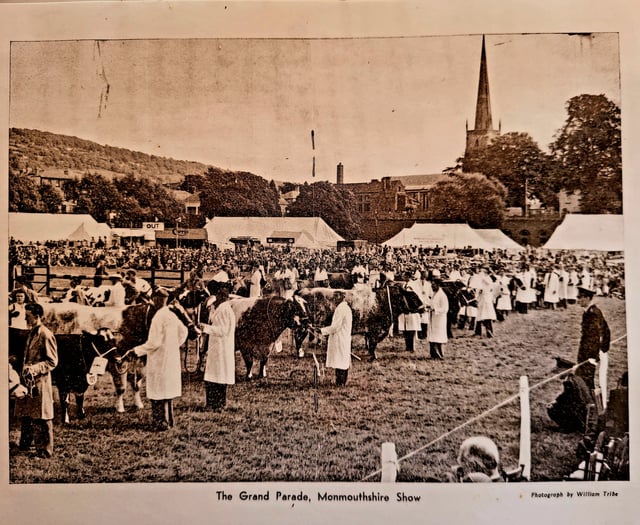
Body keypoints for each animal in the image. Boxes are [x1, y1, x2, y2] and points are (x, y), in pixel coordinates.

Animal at [296, 282, 424, 360]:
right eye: (413, 296)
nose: (424, 307)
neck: (381, 301)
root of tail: (303, 290)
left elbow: (370, 343)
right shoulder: (375, 330)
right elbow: (372, 344)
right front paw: (373, 356)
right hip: (304, 326)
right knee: (298, 338)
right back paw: (299, 353)